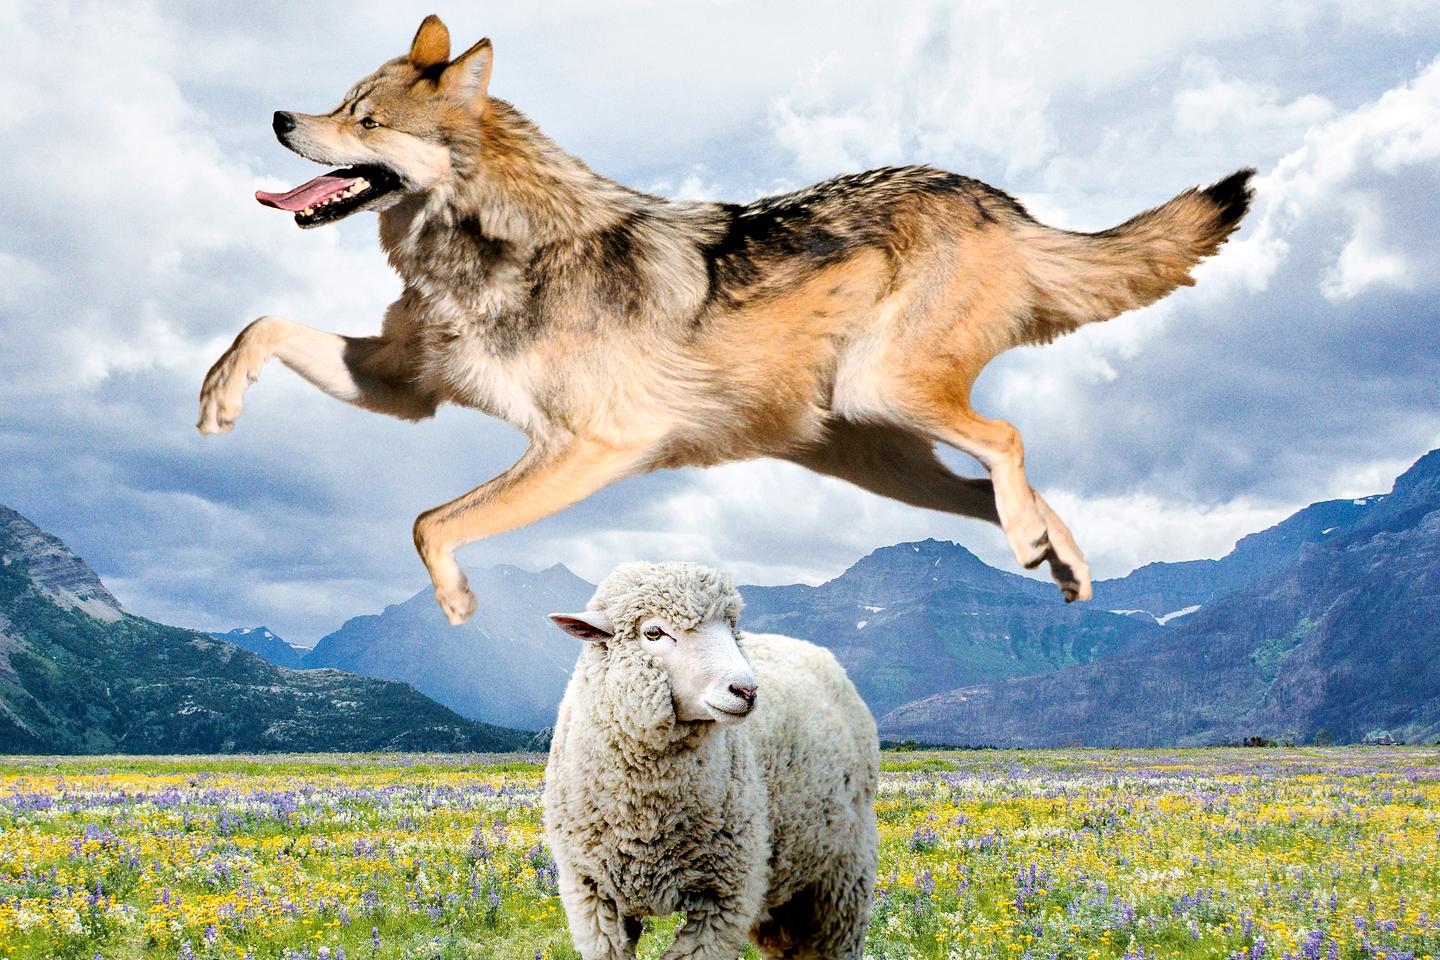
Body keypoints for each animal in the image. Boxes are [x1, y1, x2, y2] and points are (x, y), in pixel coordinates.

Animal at [199, 14, 1253, 626]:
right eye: (340, 103)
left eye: (366, 121)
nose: (280, 118)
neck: (492, 248)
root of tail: (1001, 202)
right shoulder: (406, 387)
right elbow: (262, 324)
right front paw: (217, 398)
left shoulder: (594, 447)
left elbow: (428, 522)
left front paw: (457, 601)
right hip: (878, 459)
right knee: (1001, 493)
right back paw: (1054, 554)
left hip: (889, 397)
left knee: (1009, 438)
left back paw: (1042, 540)